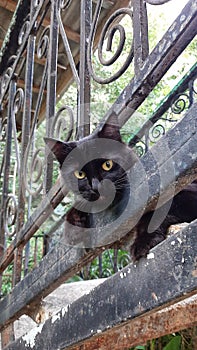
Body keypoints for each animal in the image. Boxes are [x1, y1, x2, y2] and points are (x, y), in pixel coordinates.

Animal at [45, 116, 197, 262]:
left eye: (107, 165)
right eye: (79, 174)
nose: (96, 187)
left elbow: (157, 211)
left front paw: (142, 243)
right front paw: (73, 226)